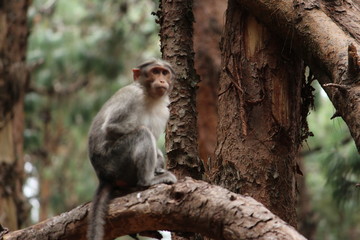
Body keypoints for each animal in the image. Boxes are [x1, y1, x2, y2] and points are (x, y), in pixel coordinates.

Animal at [87, 58, 177, 240]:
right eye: (155, 71)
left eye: (165, 73)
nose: (162, 80)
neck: (149, 96)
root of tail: (103, 176)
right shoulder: (132, 95)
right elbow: (113, 127)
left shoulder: (165, 112)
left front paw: (159, 160)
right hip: (115, 163)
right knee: (142, 132)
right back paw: (147, 180)